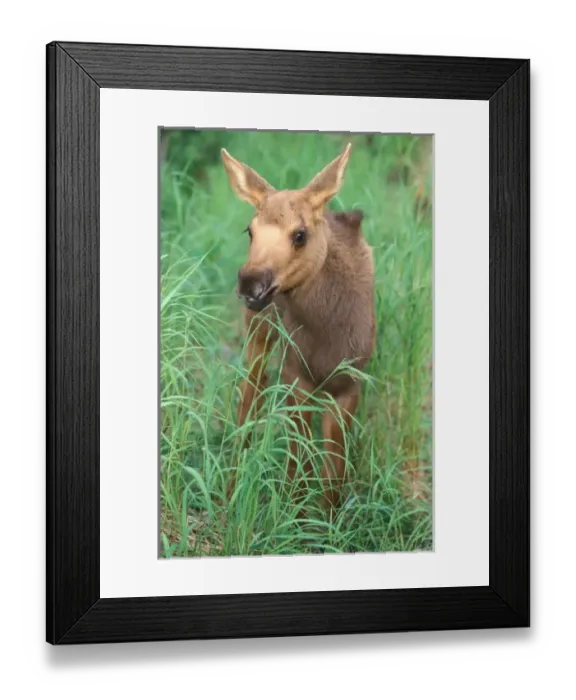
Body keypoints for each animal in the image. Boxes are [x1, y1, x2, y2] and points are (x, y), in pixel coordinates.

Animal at [221, 143, 376, 515]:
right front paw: (293, 514)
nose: (250, 284)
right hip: (259, 332)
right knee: (249, 399)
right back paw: (231, 488)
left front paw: (325, 521)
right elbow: (299, 459)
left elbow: (334, 470)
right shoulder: (296, 375)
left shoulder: (349, 384)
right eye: (250, 230)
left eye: (300, 235)